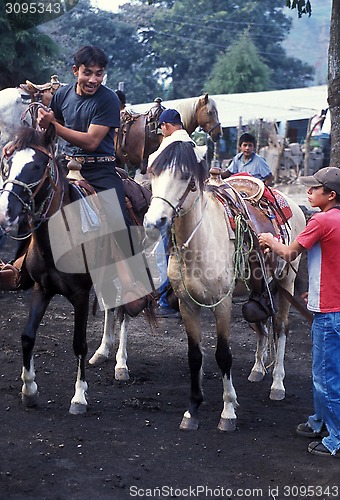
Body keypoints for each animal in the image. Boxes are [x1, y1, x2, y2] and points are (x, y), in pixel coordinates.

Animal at [143, 142, 306, 434]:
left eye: (186, 178)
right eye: (154, 174)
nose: (154, 222)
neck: (201, 243)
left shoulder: (222, 304)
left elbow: (223, 355)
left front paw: (228, 411)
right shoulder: (187, 305)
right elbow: (194, 356)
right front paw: (192, 410)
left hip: (286, 280)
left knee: (280, 328)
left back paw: (277, 383)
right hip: (258, 288)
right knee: (261, 324)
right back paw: (257, 369)